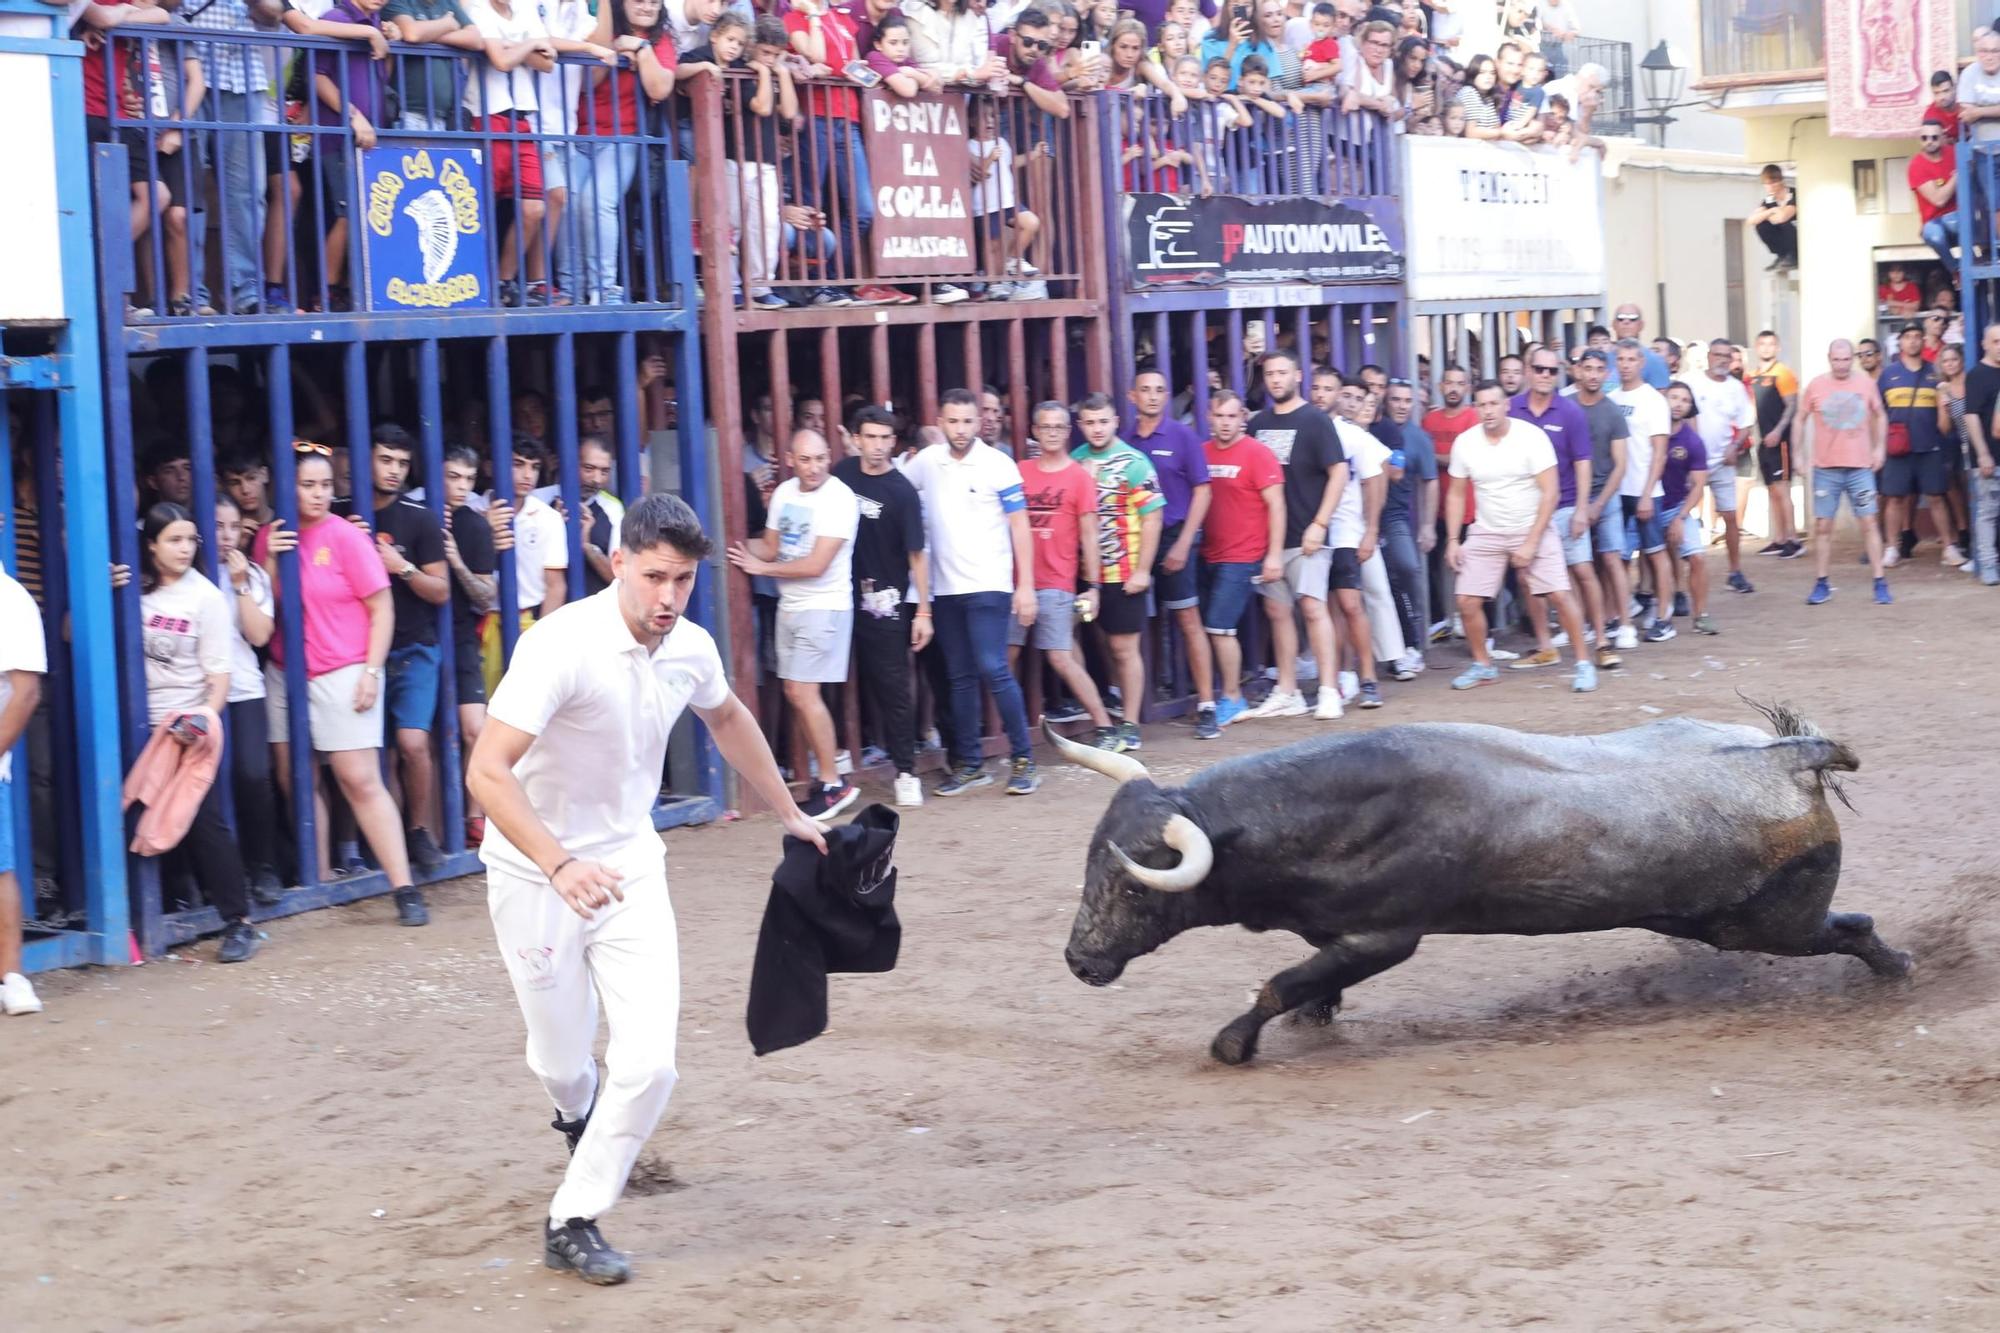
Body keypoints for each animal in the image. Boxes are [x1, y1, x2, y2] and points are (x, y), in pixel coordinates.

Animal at [1048, 700, 1904, 1064]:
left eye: (1135, 886)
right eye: (1091, 861)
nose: (1081, 962)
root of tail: (1790, 758)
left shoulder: (1387, 937)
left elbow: (1276, 985)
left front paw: (1233, 1043)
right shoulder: (1340, 939)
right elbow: (1310, 983)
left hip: (1766, 926)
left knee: (1853, 928)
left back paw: (1898, 970)